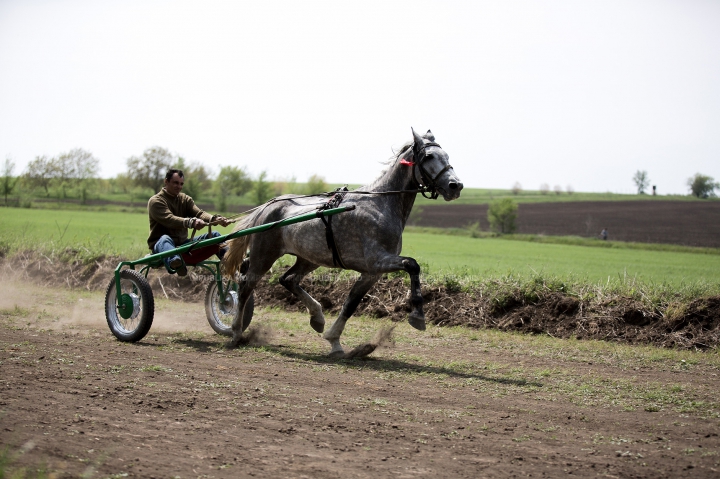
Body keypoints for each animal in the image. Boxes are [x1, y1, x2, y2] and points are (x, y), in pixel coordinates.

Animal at [222, 127, 464, 356]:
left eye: (447, 155)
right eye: (429, 156)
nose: (456, 186)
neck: (381, 204)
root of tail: (268, 206)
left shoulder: (371, 272)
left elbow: (351, 303)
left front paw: (334, 341)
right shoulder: (377, 260)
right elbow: (412, 264)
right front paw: (417, 316)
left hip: (309, 258)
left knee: (288, 279)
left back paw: (317, 318)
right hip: (264, 256)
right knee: (246, 287)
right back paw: (236, 333)